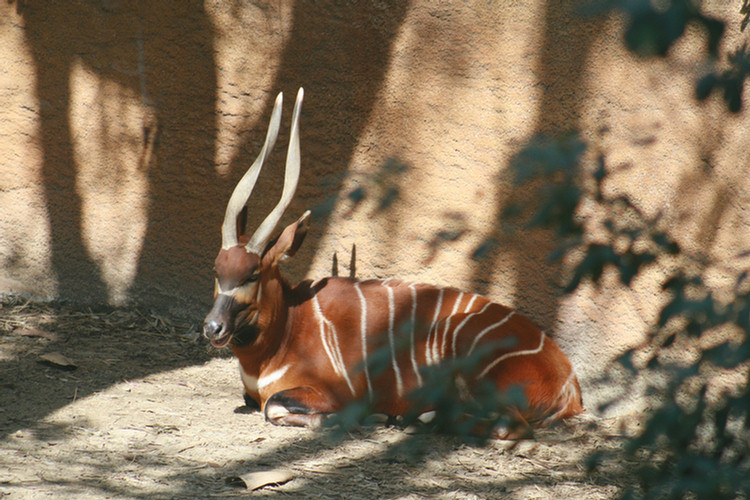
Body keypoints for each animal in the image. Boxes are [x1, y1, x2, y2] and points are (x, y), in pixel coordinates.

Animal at [206, 90, 588, 438]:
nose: (212, 327)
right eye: (217, 270)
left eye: (253, 273)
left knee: (510, 426)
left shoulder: (335, 393)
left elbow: (274, 407)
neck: (288, 327)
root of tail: (570, 385)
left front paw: (360, 418)